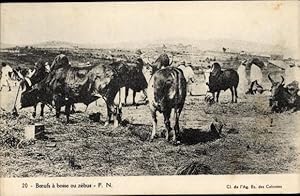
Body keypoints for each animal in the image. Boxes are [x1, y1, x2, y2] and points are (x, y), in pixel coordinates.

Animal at [20, 54, 148, 126]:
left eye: (23, 95)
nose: (20, 104)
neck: (51, 78)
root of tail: (114, 71)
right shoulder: (68, 100)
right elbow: (67, 112)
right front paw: (67, 121)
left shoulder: (57, 97)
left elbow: (57, 112)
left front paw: (57, 121)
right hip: (109, 97)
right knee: (111, 110)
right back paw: (107, 123)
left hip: (108, 96)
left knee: (115, 109)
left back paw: (115, 125)